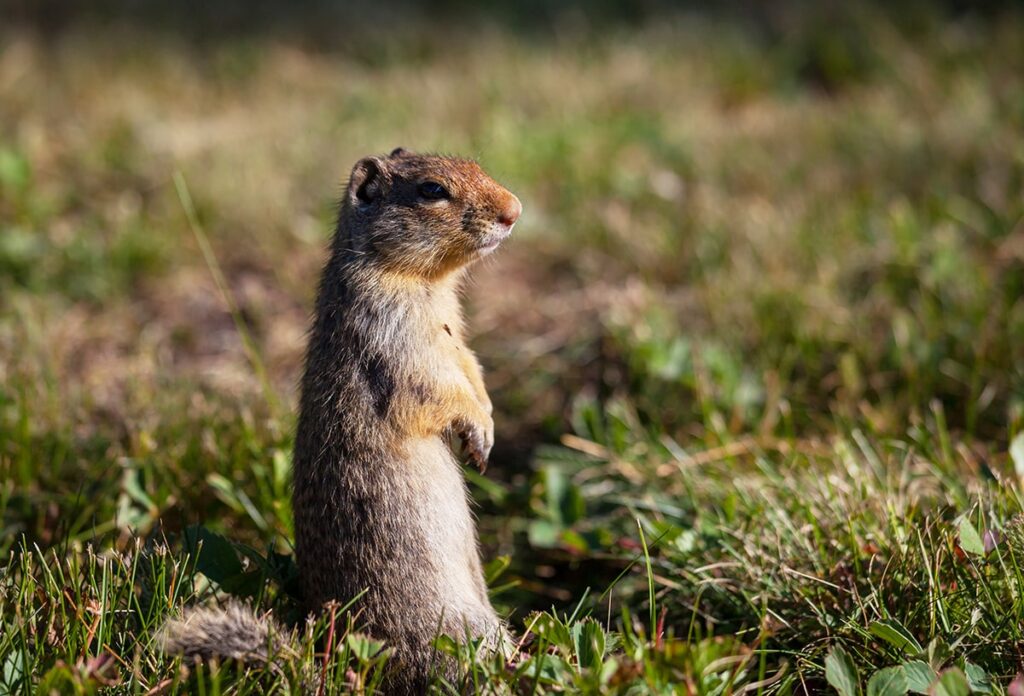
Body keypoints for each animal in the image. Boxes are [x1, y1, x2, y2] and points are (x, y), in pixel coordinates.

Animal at [165, 149, 528, 691]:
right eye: (432, 190)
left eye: (475, 164)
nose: (514, 211)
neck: (426, 283)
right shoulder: (394, 337)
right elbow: (436, 387)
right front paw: (477, 433)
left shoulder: (455, 334)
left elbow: (470, 365)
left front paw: (486, 426)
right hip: (460, 628)